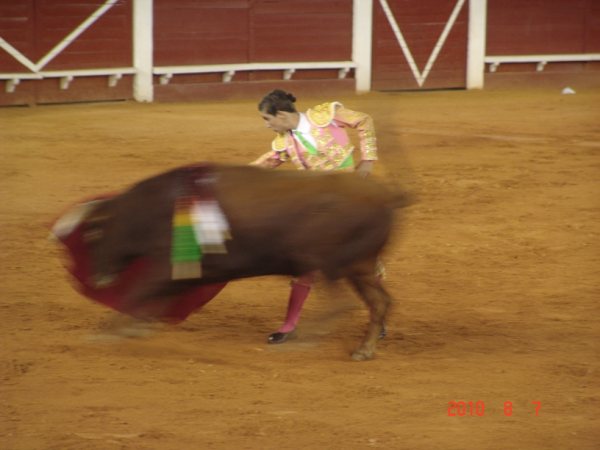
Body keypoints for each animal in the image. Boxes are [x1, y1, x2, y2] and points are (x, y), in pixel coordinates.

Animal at [52, 163, 411, 360]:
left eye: (92, 234)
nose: (97, 279)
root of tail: (386, 197)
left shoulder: (162, 266)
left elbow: (135, 294)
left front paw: (108, 333)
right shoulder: (180, 273)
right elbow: (152, 300)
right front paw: (136, 327)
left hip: (326, 262)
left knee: (343, 304)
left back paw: (308, 339)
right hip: (360, 265)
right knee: (380, 301)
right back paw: (364, 349)